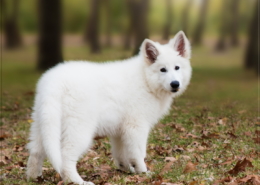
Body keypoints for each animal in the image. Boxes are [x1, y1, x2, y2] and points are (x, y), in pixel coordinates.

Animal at [26, 31, 192, 184]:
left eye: (177, 68)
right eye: (163, 69)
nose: (175, 84)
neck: (146, 79)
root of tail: (53, 83)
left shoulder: (120, 131)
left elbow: (121, 154)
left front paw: (127, 170)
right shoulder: (137, 127)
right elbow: (138, 153)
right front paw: (144, 172)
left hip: (44, 124)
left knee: (36, 152)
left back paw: (34, 178)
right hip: (79, 129)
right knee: (66, 157)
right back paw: (77, 181)